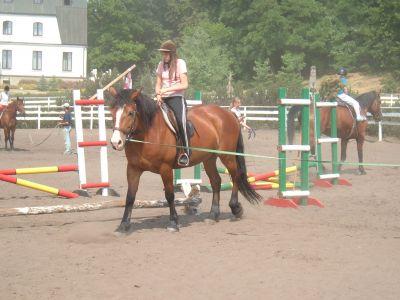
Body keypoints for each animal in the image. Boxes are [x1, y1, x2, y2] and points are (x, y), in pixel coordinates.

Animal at [108, 88, 262, 233]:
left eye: (130, 113)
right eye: (112, 111)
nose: (116, 142)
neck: (149, 134)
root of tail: (228, 114)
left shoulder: (165, 168)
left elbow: (169, 195)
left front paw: (173, 222)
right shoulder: (133, 168)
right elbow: (130, 197)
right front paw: (123, 225)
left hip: (227, 156)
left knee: (235, 176)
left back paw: (235, 208)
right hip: (209, 159)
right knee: (216, 182)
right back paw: (213, 214)